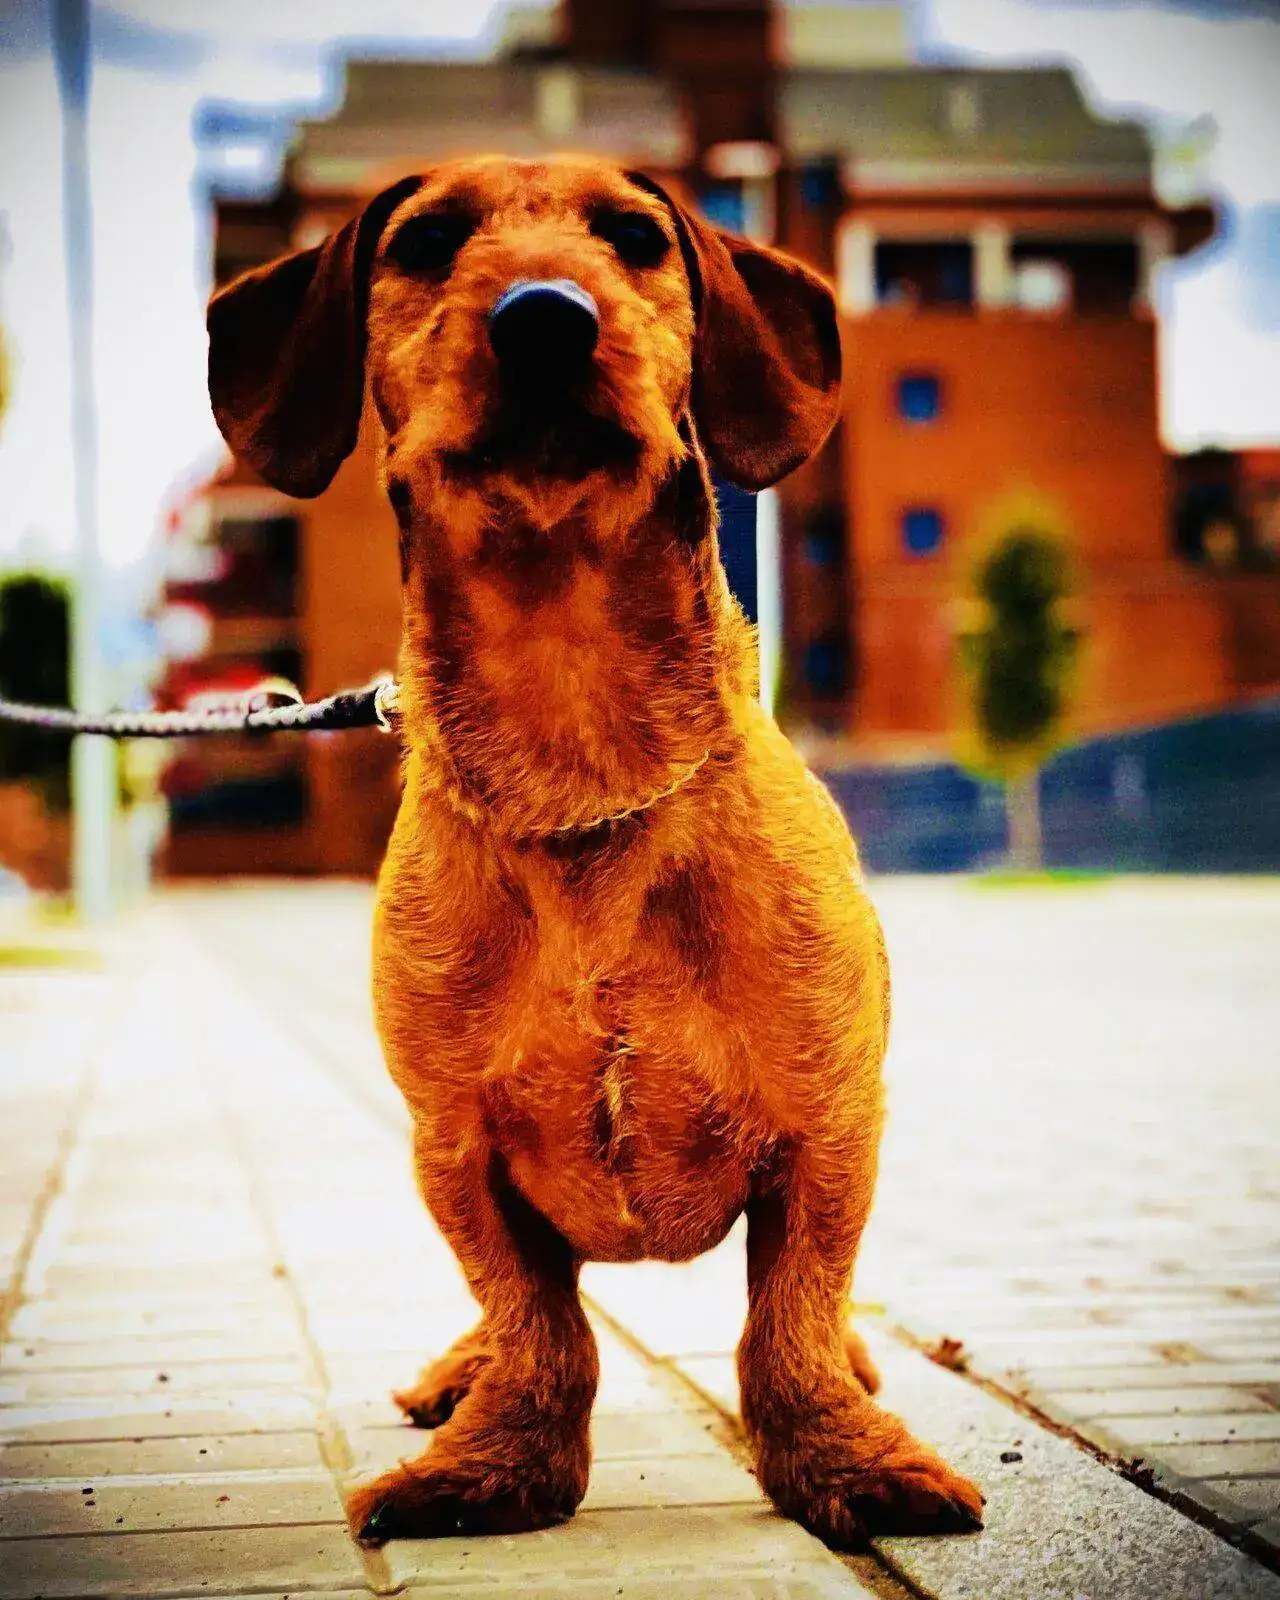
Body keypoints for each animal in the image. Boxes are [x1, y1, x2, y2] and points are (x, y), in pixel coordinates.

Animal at [207, 154, 984, 1551]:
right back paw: (458, 1375)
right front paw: (498, 1460)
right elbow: (537, 1321)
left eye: (633, 237)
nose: (543, 319)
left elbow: (787, 1319)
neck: (580, 763)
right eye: (425, 241)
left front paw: (839, 1454)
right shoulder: (455, 1150)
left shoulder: (828, 1131)